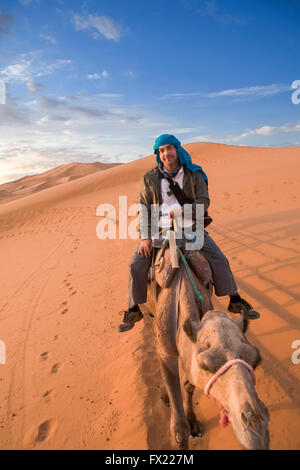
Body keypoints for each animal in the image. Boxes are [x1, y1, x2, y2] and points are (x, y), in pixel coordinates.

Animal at [145, 248, 270, 450]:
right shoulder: (167, 351)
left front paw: (193, 422)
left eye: (256, 360)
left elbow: (189, 384)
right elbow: (179, 430)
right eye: (206, 365)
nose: (256, 430)